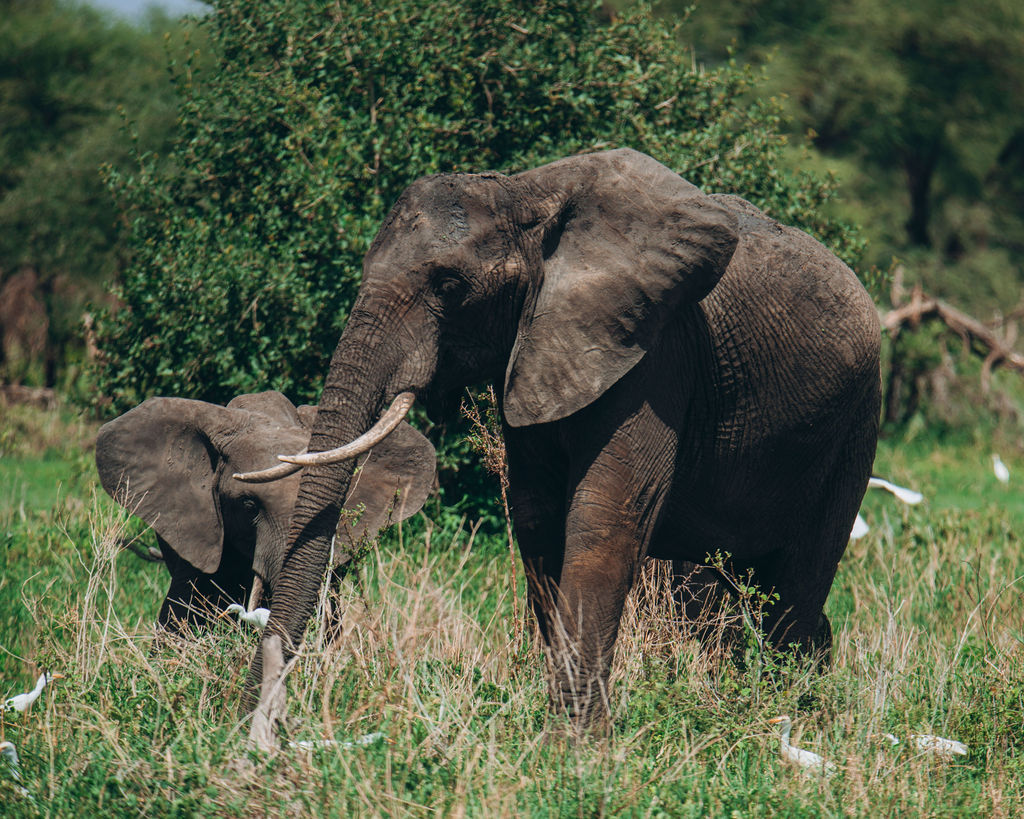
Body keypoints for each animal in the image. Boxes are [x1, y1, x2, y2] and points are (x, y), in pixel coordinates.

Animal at [238, 148, 881, 731]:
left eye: (449, 285)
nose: (247, 721)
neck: (522, 195)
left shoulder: (656, 350)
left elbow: (604, 518)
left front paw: (576, 747)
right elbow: (537, 520)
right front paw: (562, 732)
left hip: (857, 422)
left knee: (798, 583)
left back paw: (783, 713)